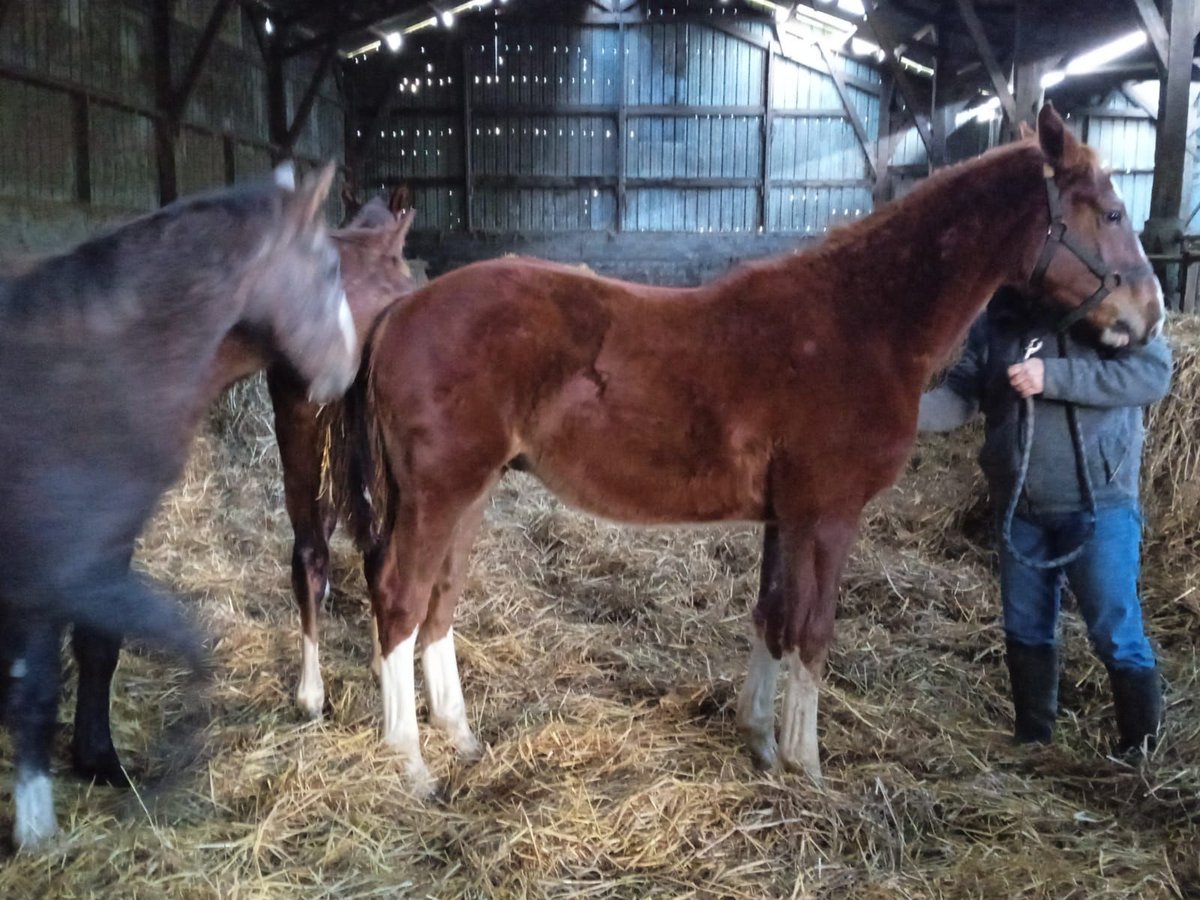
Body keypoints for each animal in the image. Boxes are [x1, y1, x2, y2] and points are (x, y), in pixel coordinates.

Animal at [0, 164, 355, 854]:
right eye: (329, 268)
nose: (347, 369)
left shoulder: (96, 557)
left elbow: (97, 652)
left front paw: (102, 765)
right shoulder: (53, 570)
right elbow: (49, 681)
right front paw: (42, 824)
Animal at [326, 105, 1161, 796]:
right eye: (1112, 211)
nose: (1147, 318)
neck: (863, 321)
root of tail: (403, 308)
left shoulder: (783, 517)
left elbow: (772, 616)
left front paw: (760, 741)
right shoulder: (827, 516)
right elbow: (812, 631)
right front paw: (808, 767)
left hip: (471, 493)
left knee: (438, 605)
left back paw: (462, 740)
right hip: (440, 493)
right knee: (399, 598)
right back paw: (412, 765)